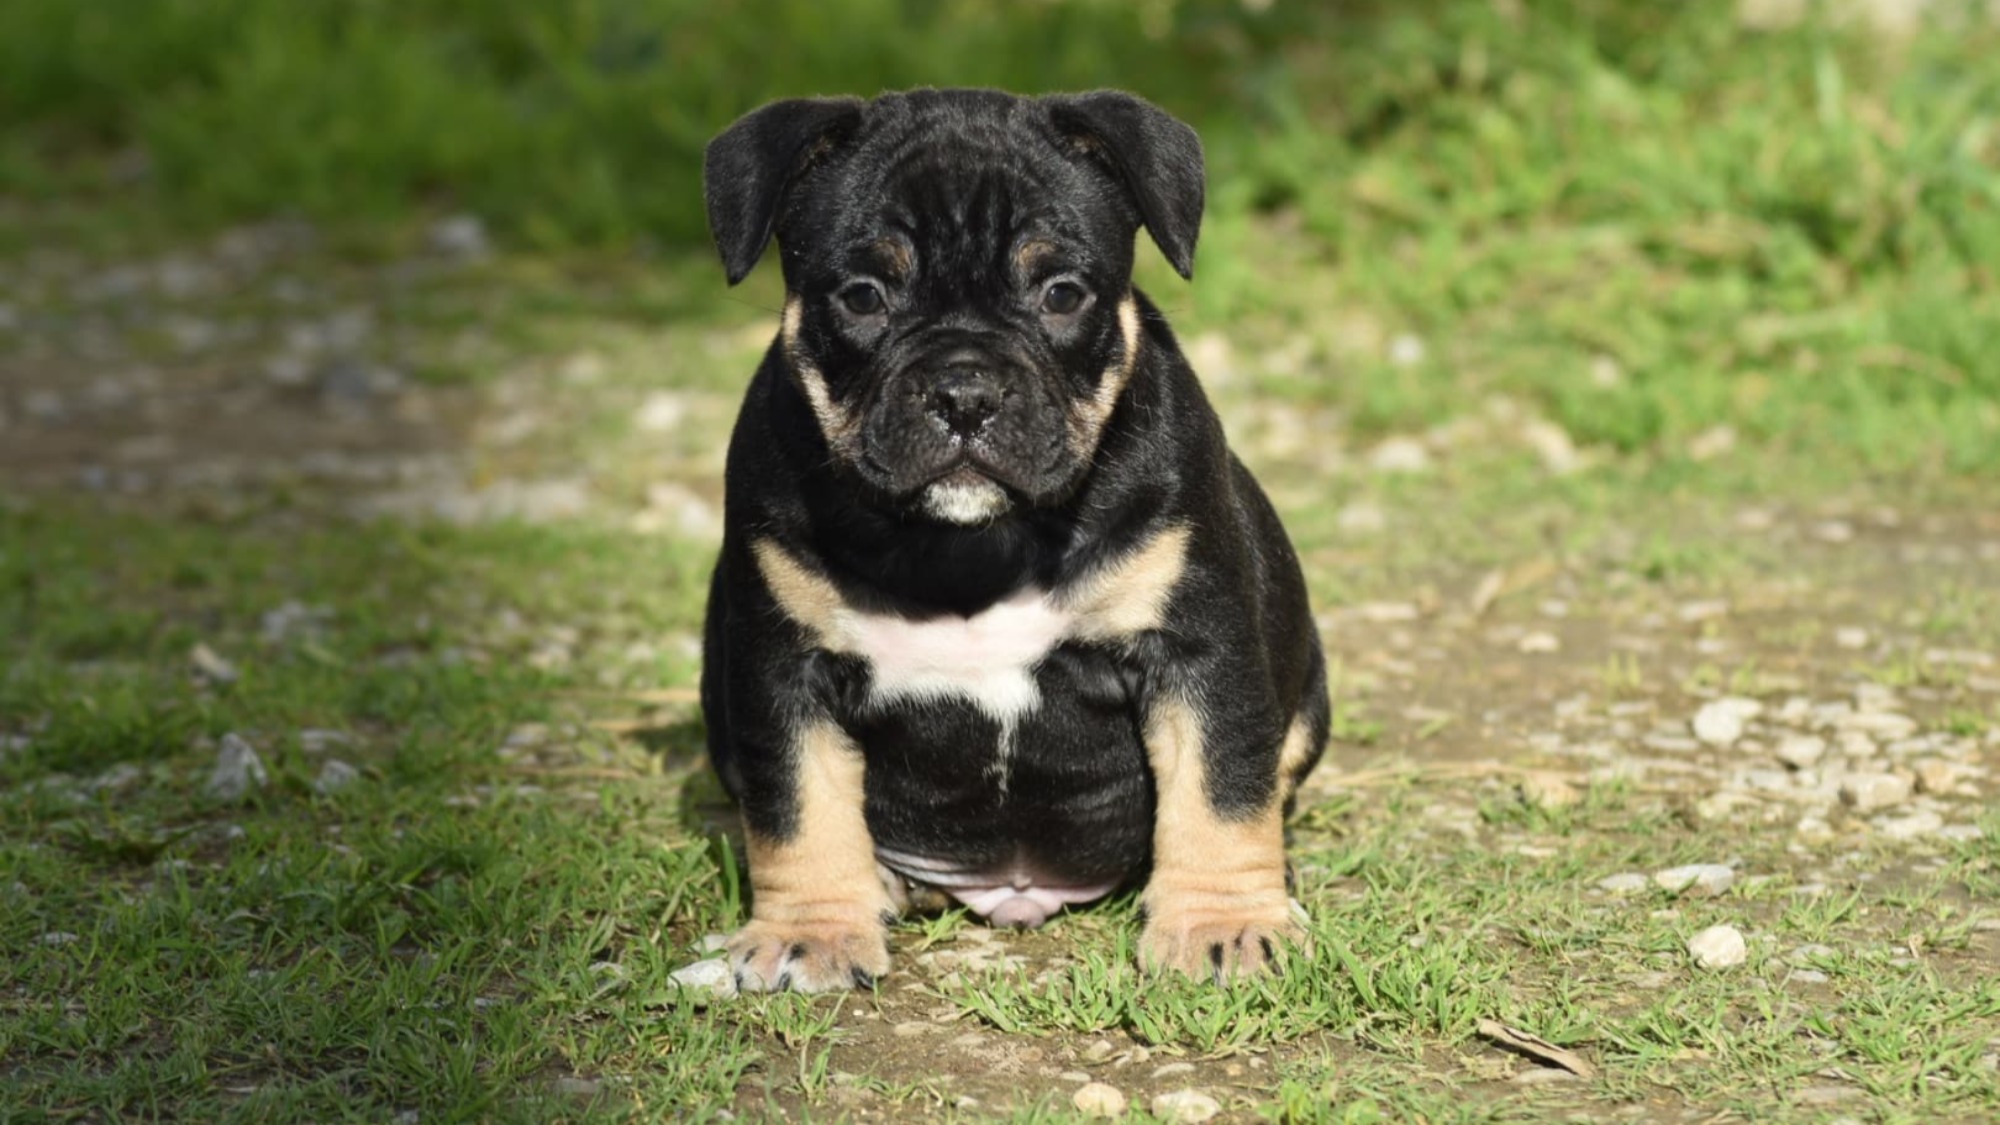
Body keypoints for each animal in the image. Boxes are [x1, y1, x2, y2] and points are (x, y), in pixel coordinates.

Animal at [700, 89, 1328, 988]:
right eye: (862, 296)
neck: (972, 548)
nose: (965, 392)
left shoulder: (1197, 645)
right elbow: (797, 806)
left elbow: (1221, 786)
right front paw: (809, 932)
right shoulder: (781, 665)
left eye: (1062, 294)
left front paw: (1225, 924)